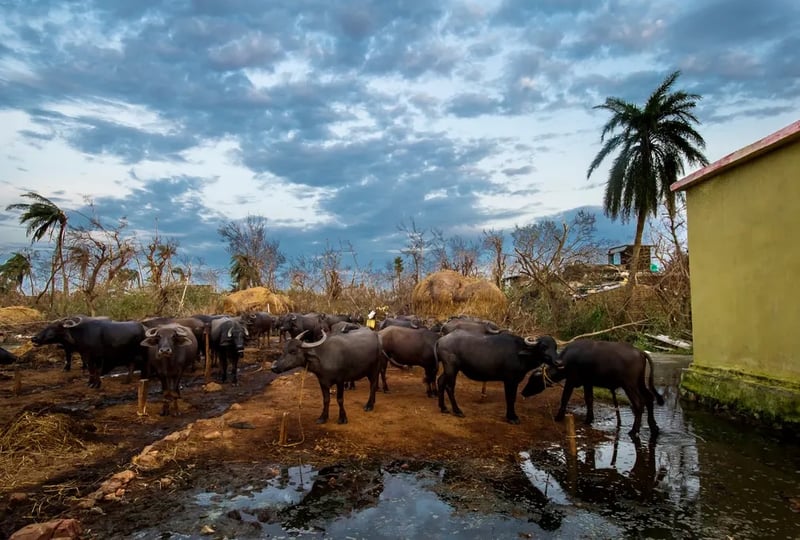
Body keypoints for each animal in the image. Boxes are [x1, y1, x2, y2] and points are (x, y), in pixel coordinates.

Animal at [520, 340, 664, 436]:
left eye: (533, 380)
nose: (523, 392)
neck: (568, 360)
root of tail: (641, 352)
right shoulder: (587, 383)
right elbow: (589, 400)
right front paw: (589, 419)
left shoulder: (570, 381)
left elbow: (565, 398)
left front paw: (558, 417)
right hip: (640, 382)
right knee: (649, 398)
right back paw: (654, 427)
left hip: (629, 385)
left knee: (639, 404)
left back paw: (634, 431)